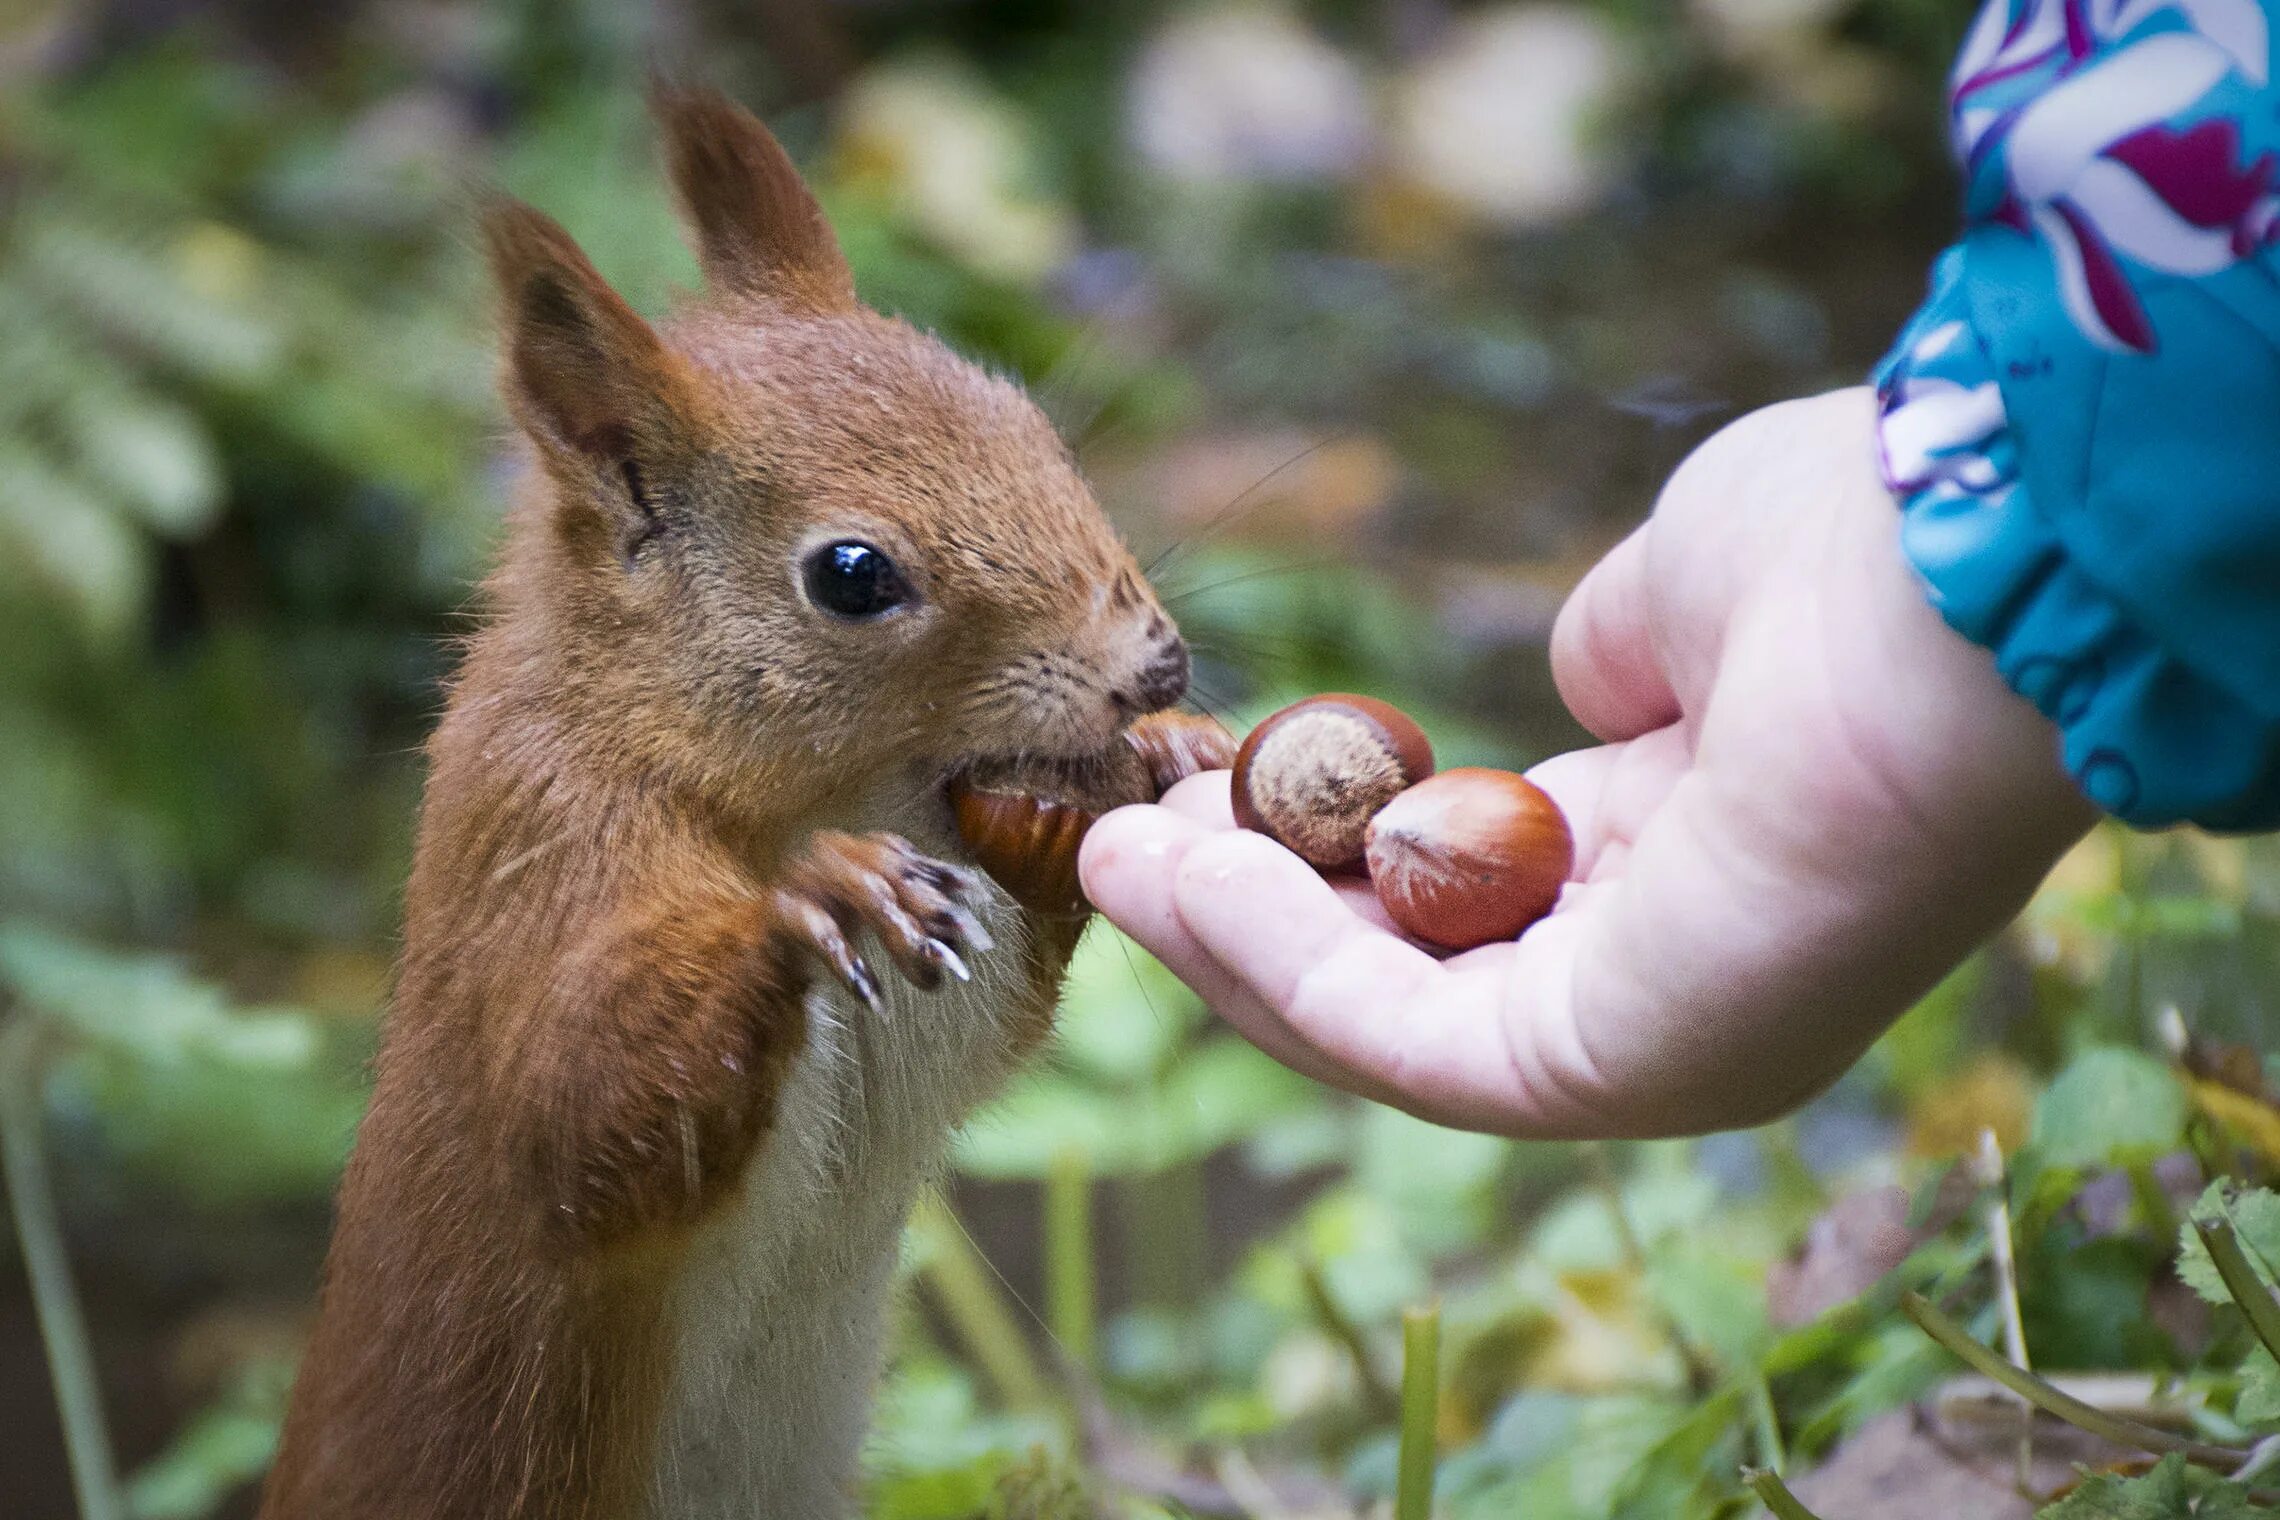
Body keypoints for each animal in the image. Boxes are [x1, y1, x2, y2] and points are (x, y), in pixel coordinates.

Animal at [258, 89, 1231, 1513]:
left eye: (1032, 424)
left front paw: (1172, 747)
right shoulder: (535, 853)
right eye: (852, 574)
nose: (1152, 666)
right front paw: (817, 894)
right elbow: (579, 1120)